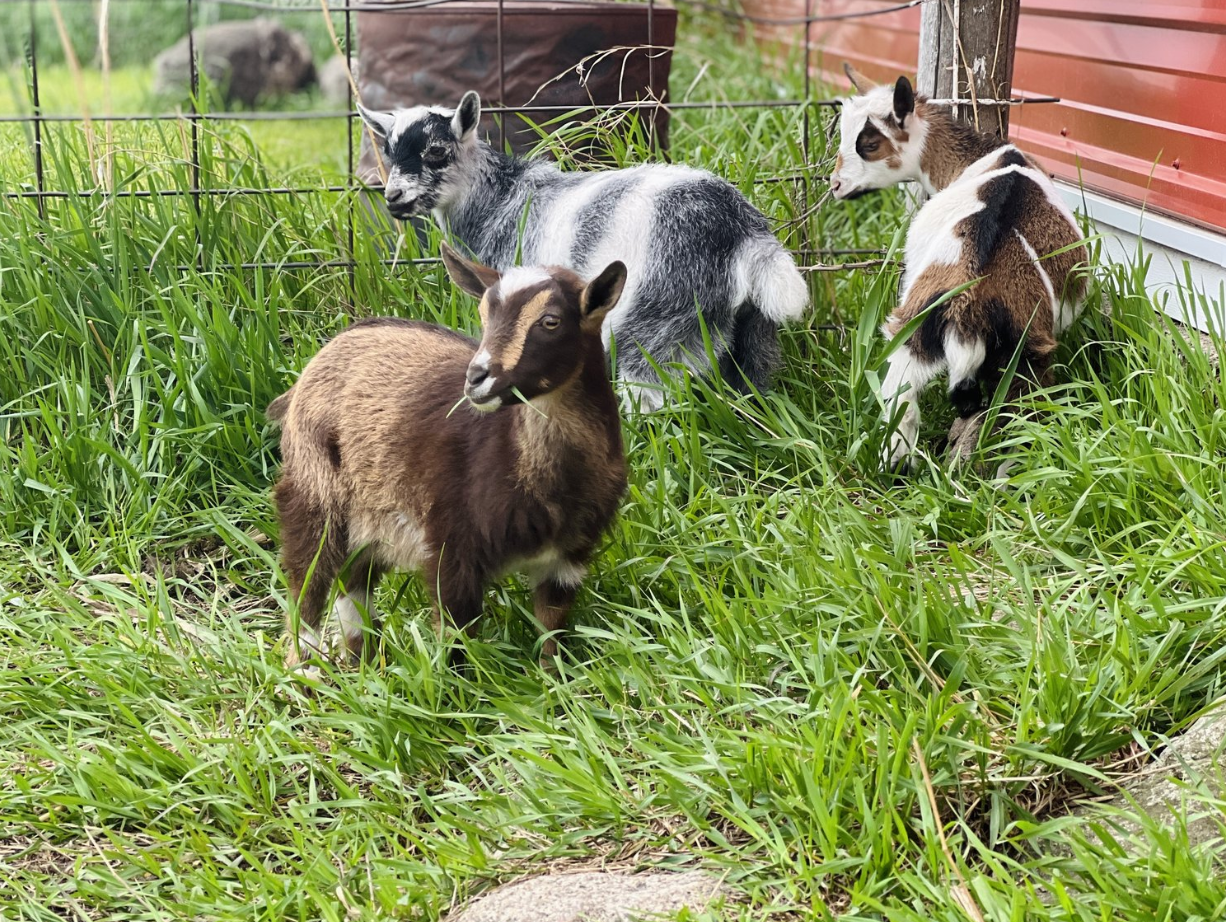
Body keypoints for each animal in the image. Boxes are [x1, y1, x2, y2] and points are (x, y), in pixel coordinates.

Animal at [267, 244, 629, 668]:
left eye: (551, 321)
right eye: (483, 314)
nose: (476, 378)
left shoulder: (569, 557)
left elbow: (551, 629)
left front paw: (553, 676)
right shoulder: (452, 545)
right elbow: (457, 634)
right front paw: (455, 685)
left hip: (367, 521)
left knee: (352, 584)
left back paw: (363, 662)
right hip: (313, 490)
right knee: (306, 578)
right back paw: (303, 669)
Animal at [356, 92, 809, 411]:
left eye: (436, 151)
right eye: (388, 154)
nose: (394, 198)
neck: (499, 199)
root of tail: (742, 231)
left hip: (657, 316)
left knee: (650, 393)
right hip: (751, 328)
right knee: (752, 384)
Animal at [830, 65, 1087, 468]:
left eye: (869, 145)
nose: (836, 185)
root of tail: (970, 301)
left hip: (912, 336)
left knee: (904, 410)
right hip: (1024, 357)